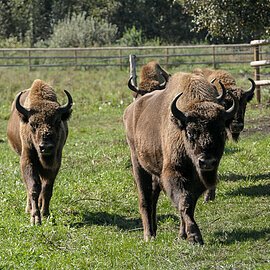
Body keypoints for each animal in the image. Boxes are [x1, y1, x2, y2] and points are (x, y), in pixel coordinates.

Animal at [7, 79, 73, 225]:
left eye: (57, 121)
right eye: (32, 124)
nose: (46, 147)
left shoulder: (55, 162)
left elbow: (47, 188)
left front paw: (45, 213)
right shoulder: (27, 160)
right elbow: (33, 187)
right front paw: (35, 218)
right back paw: (29, 208)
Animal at [123, 71, 237, 245]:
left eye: (221, 132)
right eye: (190, 132)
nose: (207, 162)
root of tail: (130, 110)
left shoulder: (196, 180)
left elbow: (189, 203)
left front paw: (183, 234)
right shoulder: (174, 173)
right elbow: (183, 202)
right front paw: (194, 236)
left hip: (156, 171)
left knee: (153, 197)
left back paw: (154, 231)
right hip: (137, 162)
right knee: (145, 199)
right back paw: (148, 235)